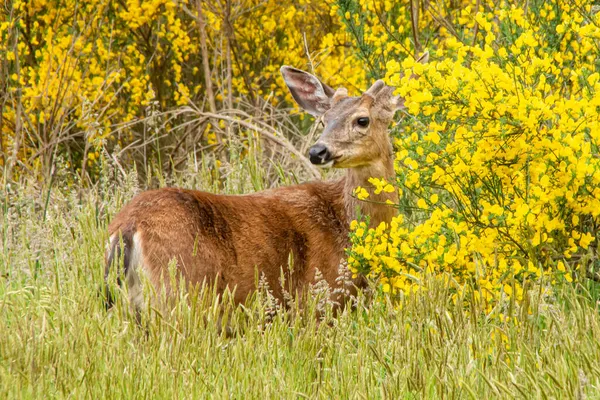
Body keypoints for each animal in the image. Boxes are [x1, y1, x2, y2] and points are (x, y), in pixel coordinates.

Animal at [106, 57, 426, 318]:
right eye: (324, 120)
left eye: (362, 120)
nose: (317, 151)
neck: (345, 223)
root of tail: (128, 226)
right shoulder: (318, 301)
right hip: (180, 291)